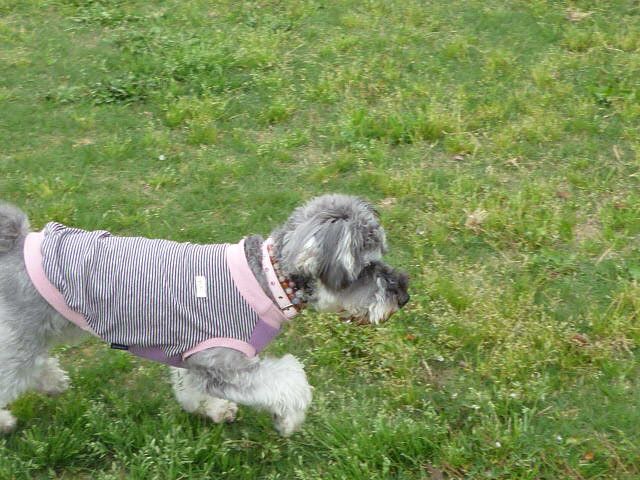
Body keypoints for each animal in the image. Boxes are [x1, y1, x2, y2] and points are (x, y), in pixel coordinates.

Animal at [0, 194, 409, 436]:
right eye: (367, 267)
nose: (403, 295)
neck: (269, 280)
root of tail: (18, 241)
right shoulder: (224, 363)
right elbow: (290, 382)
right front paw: (289, 420)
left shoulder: (193, 358)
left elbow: (190, 390)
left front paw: (214, 410)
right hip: (24, 335)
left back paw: (51, 382)